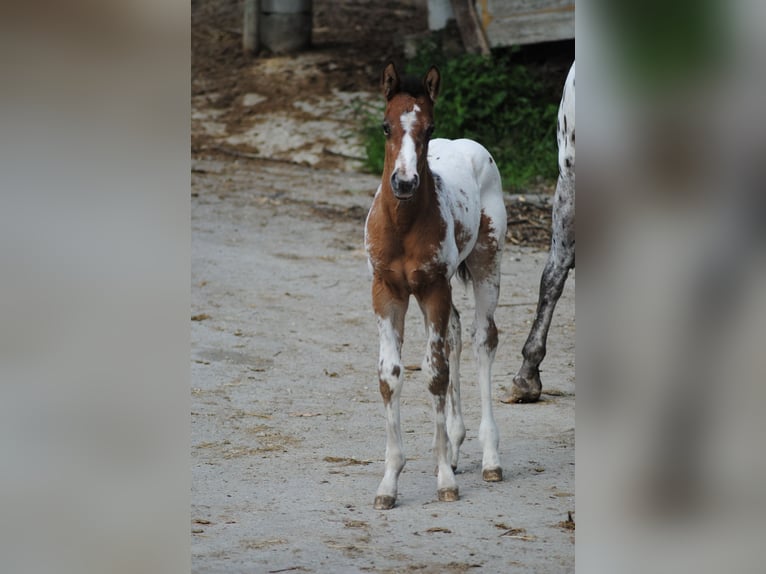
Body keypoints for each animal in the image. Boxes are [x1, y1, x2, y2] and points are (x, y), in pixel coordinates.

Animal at [368, 64, 510, 512]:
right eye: (385, 126)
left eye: (429, 128)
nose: (405, 183)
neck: (403, 226)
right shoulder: (387, 291)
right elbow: (390, 374)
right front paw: (389, 483)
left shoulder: (432, 290)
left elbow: (434, 374)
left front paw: (445, 478)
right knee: (456, 333)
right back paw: (457, 444)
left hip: (486, 264)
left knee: (483, 338)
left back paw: (489, 458)